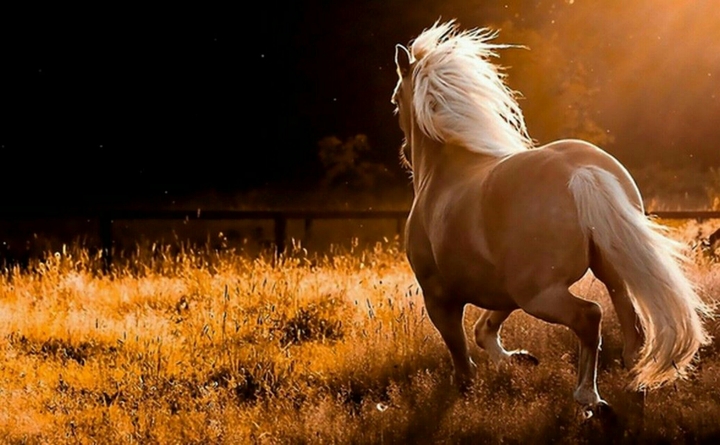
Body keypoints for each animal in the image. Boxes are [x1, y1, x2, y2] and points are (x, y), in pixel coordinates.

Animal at [391, 20, 712, 414]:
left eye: (396, 101)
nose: (405, 154)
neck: (444, 172)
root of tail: (581, 172)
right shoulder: (502, 290)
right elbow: (484, 330)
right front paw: (517, 359)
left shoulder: (439, 297)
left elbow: (461, 355)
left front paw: (465, 391)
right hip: (607, 275)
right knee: (632, 329)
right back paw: (635, 386)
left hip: (540, 295)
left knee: (590, 316)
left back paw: (590, 398)